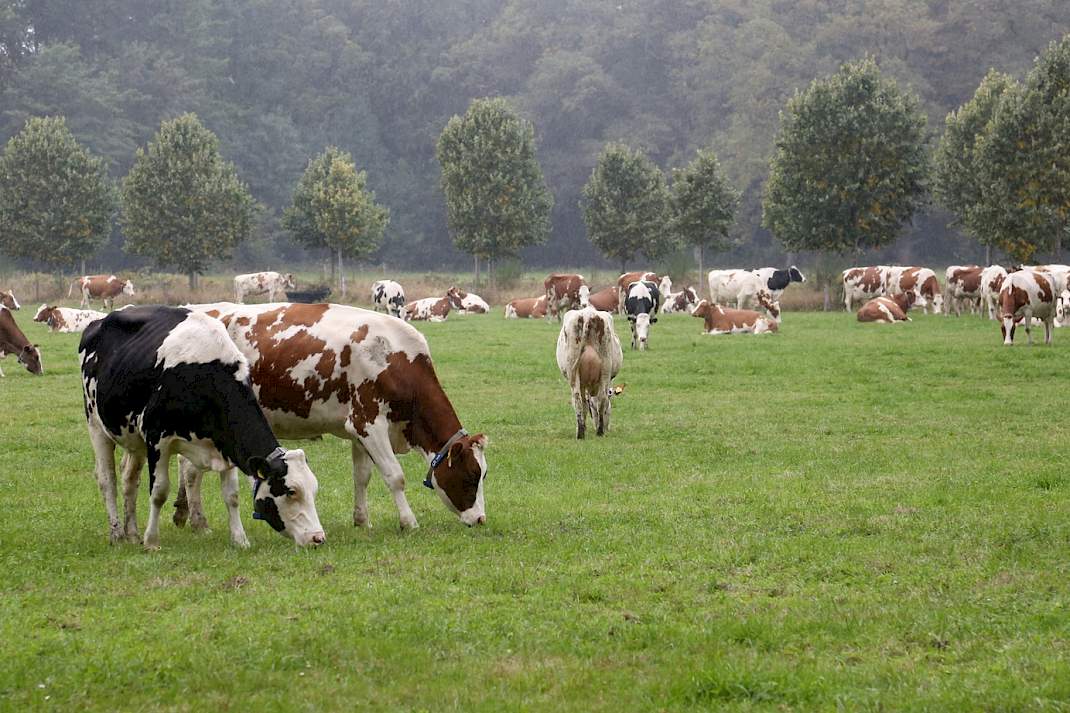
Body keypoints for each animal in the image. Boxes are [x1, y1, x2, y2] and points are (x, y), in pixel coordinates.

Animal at [78, 306, 325, 548]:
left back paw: (132, 533)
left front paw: (240, 539)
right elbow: (159, 492)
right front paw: (152, 541)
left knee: (130, 479)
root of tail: (100, 321)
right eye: (291, 491)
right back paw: (117, 534)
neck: (204, 375)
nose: (317, 538)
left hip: (133, 438)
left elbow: (232, 495)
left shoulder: (228, 443)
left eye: (313, 489)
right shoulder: (157, 438)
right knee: (107, 479)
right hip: (96, 424)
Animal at [172, 302, 488, 530]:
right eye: (472, 475)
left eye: (483, 473)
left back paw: (189, 517)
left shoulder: (357, 430)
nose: (481, 519)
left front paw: (362, 520)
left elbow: (362, 476)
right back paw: (198, 520)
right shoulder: (369, 422)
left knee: (188, 469)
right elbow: (395, 476)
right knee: (190, 471)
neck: (395, 358)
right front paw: (409, 522)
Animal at [555, 307, 622, 439]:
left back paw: (584, 432)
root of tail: (588, 314)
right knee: (599, 398)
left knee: (579, 400)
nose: (608, 428)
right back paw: (597, 431)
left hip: (577, 372)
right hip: (604, 370)